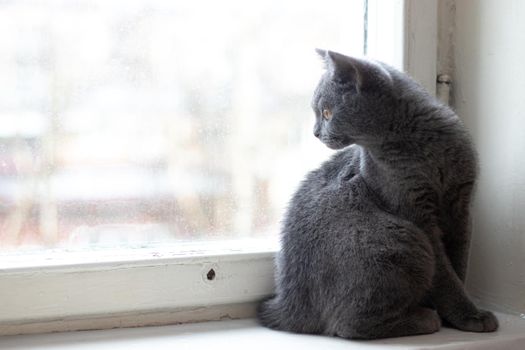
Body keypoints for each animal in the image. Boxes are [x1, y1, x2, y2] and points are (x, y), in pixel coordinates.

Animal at [256, 50, 498, 340]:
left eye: (326, 112)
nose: (315, 132)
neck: (420, 145)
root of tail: (287, 304)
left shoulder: (460, 204)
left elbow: (459, 262)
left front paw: (463, 313)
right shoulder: (415, 214)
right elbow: (444, 273)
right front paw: (469, 314)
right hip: (402, 241)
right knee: (348, 325)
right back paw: (425, 318)